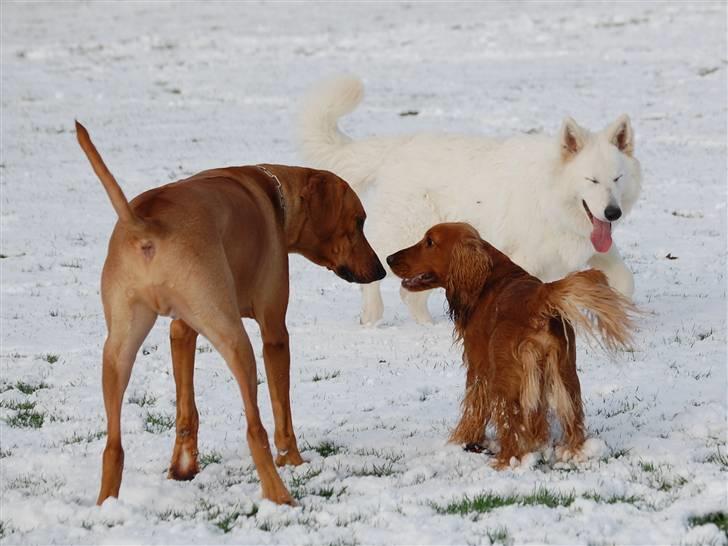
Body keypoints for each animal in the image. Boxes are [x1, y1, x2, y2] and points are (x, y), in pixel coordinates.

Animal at [77, 121, 386, 504]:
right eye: (359, 221)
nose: (381, 270)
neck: (274, 194)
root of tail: (146, 225)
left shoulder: (182, 330)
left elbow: (186, 410)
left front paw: (183, 468)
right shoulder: (274, 331)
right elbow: (282, 410)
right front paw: (295, 462)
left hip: (117, 351)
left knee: (113, 444)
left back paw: (106, 502)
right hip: (235, 338)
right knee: (255, 429)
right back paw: (279, 494)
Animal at [298, 76, 640, 324]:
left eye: (617, 179)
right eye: (592, 180)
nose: (612, 213)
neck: (552, 198)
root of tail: (401, 145)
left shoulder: (594, 249)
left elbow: (625, 280)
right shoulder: (523, 260)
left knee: (411, 295)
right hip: (405, 237)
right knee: (374, 269)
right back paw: (372, 316)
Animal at [386, 223, 636, 466]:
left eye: (430, 242)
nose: (388, 258)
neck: (486, 278)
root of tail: (537, 299)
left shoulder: (479, 366)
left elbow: (474, 406)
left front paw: (464, 439)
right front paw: (538, 440)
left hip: (505, 379)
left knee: (510, 428)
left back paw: (505, 461)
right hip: (565, 374)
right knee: (572, 419)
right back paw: (573, 453)